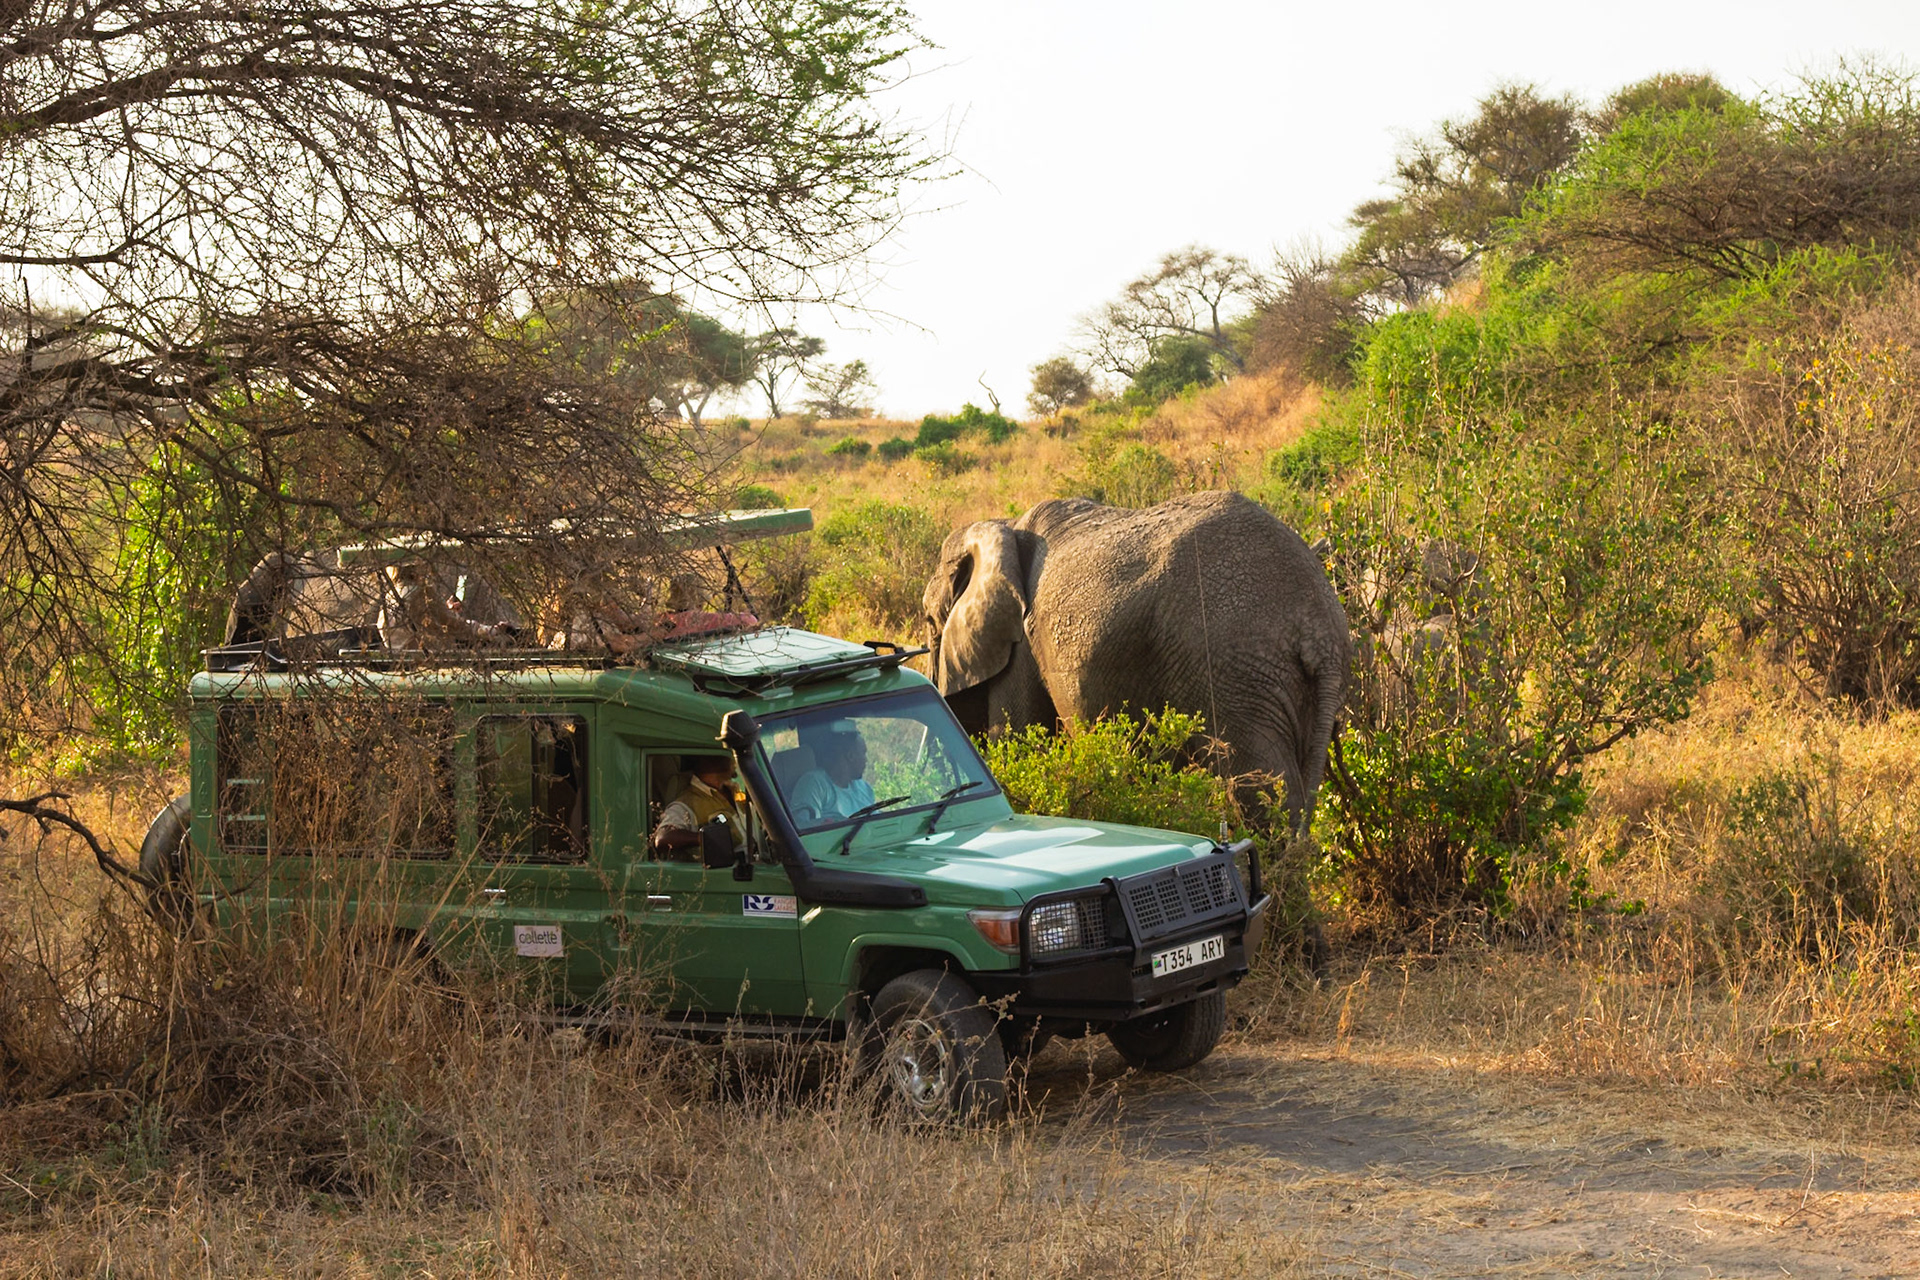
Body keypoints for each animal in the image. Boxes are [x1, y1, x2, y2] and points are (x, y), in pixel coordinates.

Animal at [921, 491, 1351, 829]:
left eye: (928, 621)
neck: (1002, 527)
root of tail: (1320, 630)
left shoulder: (1023, 647)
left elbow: (1022, 742)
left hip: (1236, 672)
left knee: (1264, 796)